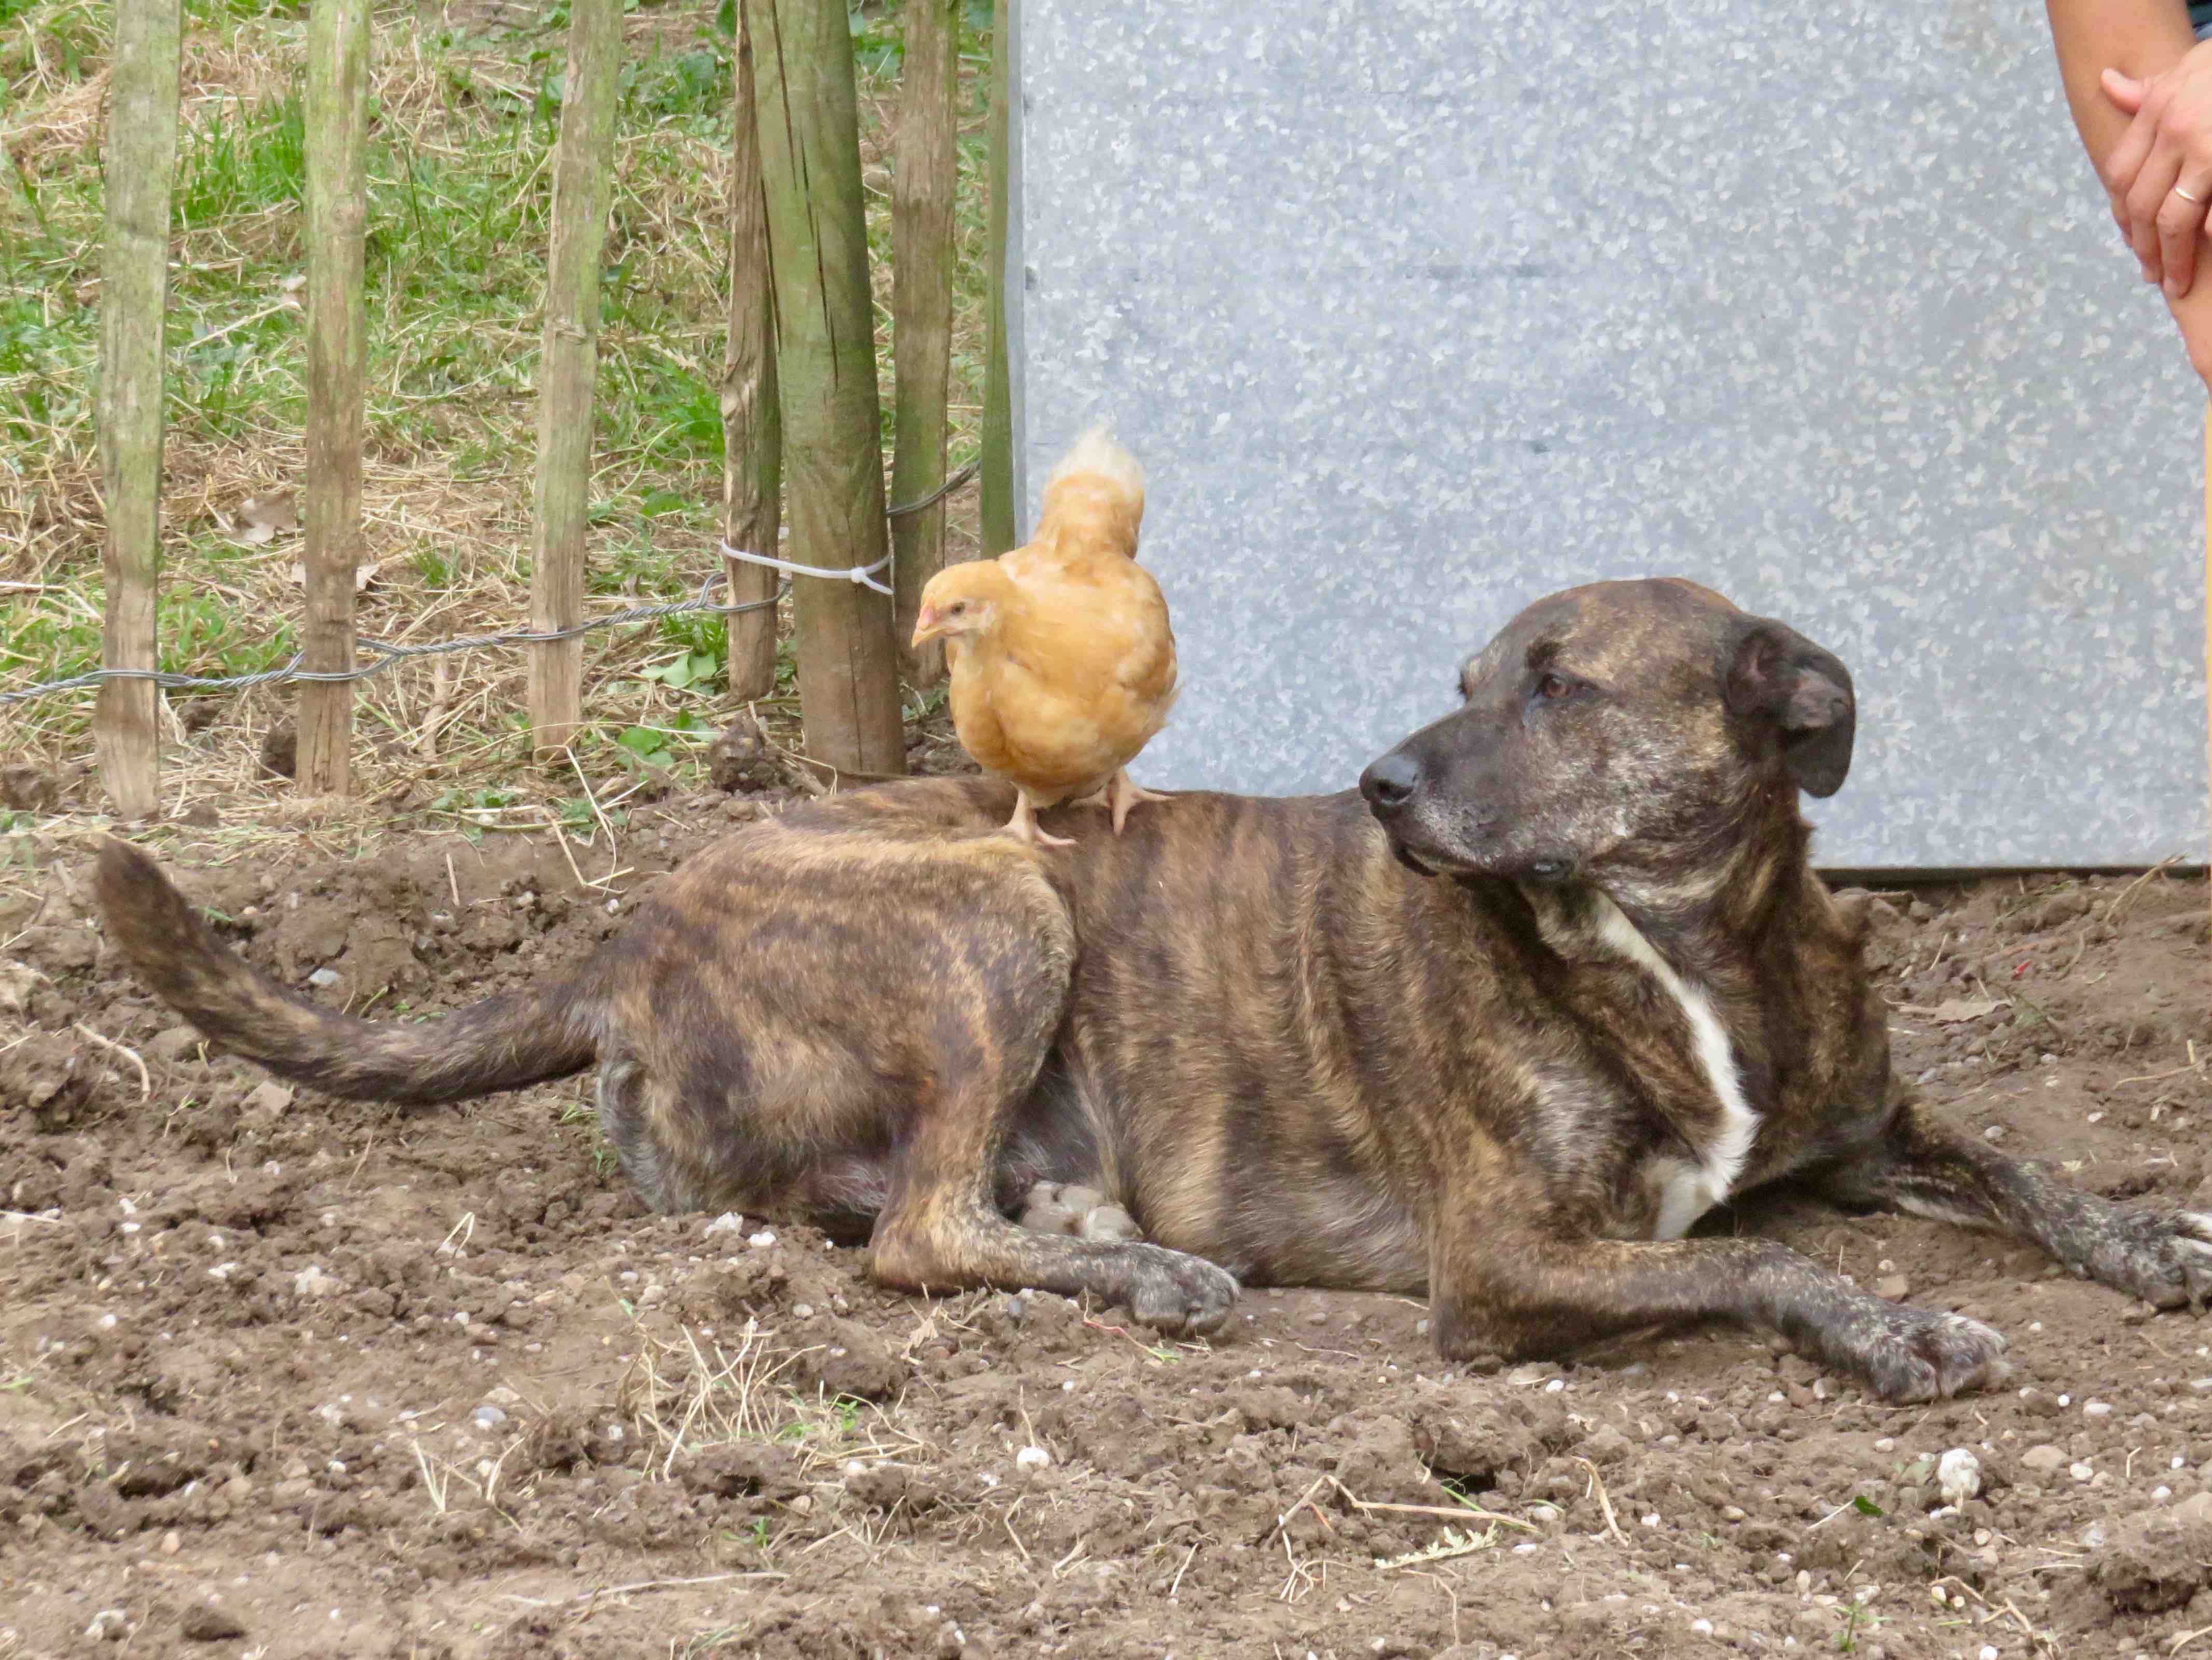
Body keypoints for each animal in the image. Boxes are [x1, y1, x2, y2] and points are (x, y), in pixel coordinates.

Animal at [95, 580, 2212, 1398]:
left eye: (1559, 687)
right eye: (1465, 673)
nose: (1380, 782)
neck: (1685, 946)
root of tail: (622, 933)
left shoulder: (1856, 1121)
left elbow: (2008, 1159)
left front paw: (2147, 1234)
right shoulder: (1503, 1263)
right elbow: (1764, 1257)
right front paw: (1894, 1322)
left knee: (902, 1203)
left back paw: (1096, 1229)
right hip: (999, 902)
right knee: (911, 1237)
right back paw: (1146, 1274)